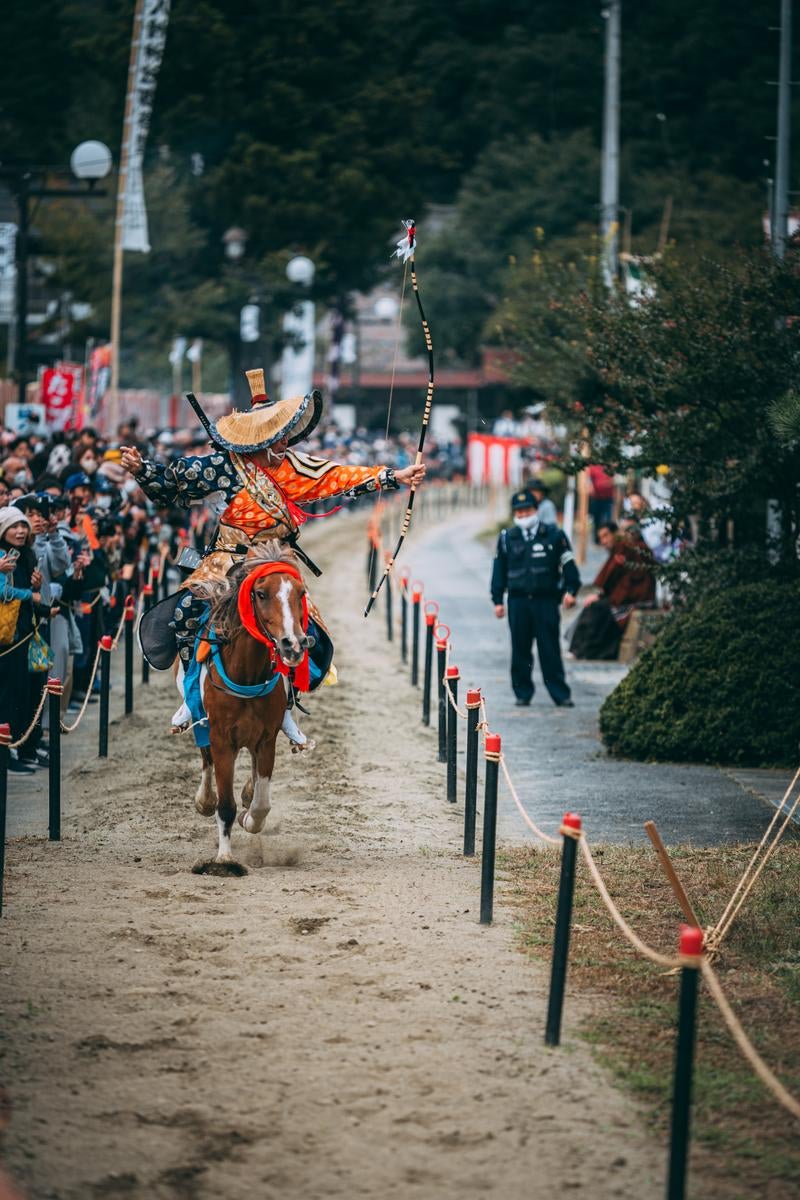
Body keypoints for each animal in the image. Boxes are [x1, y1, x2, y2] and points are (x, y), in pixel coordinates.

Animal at [190, 544, 309, 873]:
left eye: (300, 593)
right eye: (261, 594)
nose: (293, 644)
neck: (247, 675)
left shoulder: (266, 738)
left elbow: (261, 803)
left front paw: (249, 817)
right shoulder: (220, 738)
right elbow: (225, 805)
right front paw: (224, 859)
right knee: (205, 761)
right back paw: (204, 800)